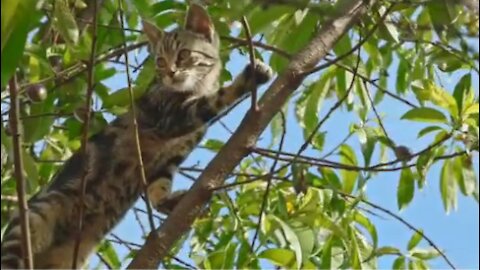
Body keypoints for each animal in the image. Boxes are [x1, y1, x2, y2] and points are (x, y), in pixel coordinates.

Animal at [0, 3, 272, 268]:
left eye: (183, 55)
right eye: (160, 61)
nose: (170, 73)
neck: (196, 88)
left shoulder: (172, 155)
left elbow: (158, 185)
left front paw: (167, 201)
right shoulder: (173, 117)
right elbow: (216, 99)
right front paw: (249, 78)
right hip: (34, 219)